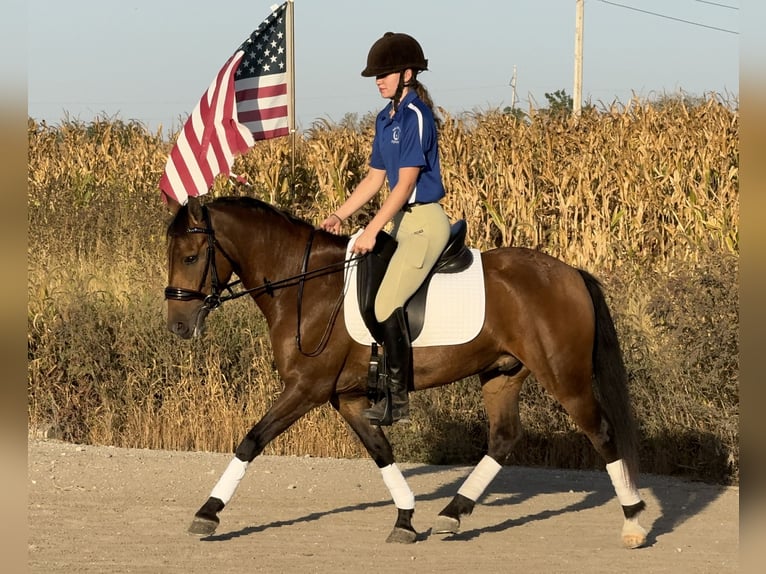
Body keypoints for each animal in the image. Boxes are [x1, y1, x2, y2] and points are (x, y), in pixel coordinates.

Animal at [165, 197, 652, 548]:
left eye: (190, 257)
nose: (178, 326)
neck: (306, 285)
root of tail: (569, 273)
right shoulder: (347, 398)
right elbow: (381, 451)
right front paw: (405, 519)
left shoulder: (306, 388)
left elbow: (251, 440)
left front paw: (207, 513)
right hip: (502, 373)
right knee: (504, 437)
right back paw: (453, 513)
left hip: (565, 377)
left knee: (602, 432)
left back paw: (633, 524)